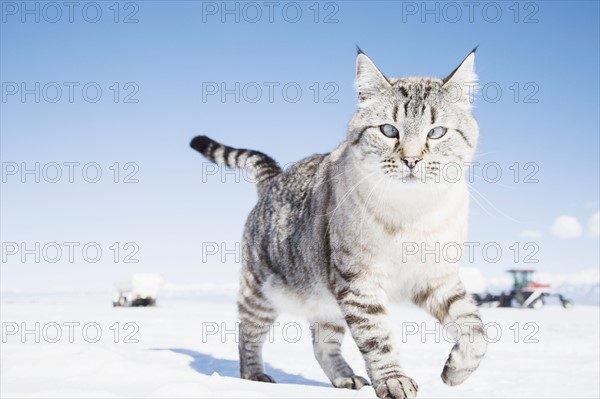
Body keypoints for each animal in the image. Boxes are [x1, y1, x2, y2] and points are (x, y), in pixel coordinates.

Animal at [191, 48, 488, 398]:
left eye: (436, 132)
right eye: (389, 130)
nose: (412, 160)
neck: (411, 213)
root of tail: (273, 178)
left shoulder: (437, 279)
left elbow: (476, 330)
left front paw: (454, 372)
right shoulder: (359, 281)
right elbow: (378, 339)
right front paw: (393, 380)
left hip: (326, 303)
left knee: (323, 345)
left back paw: (346, 379)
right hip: (261, 292)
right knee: (247, 335)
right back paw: (254, 376)